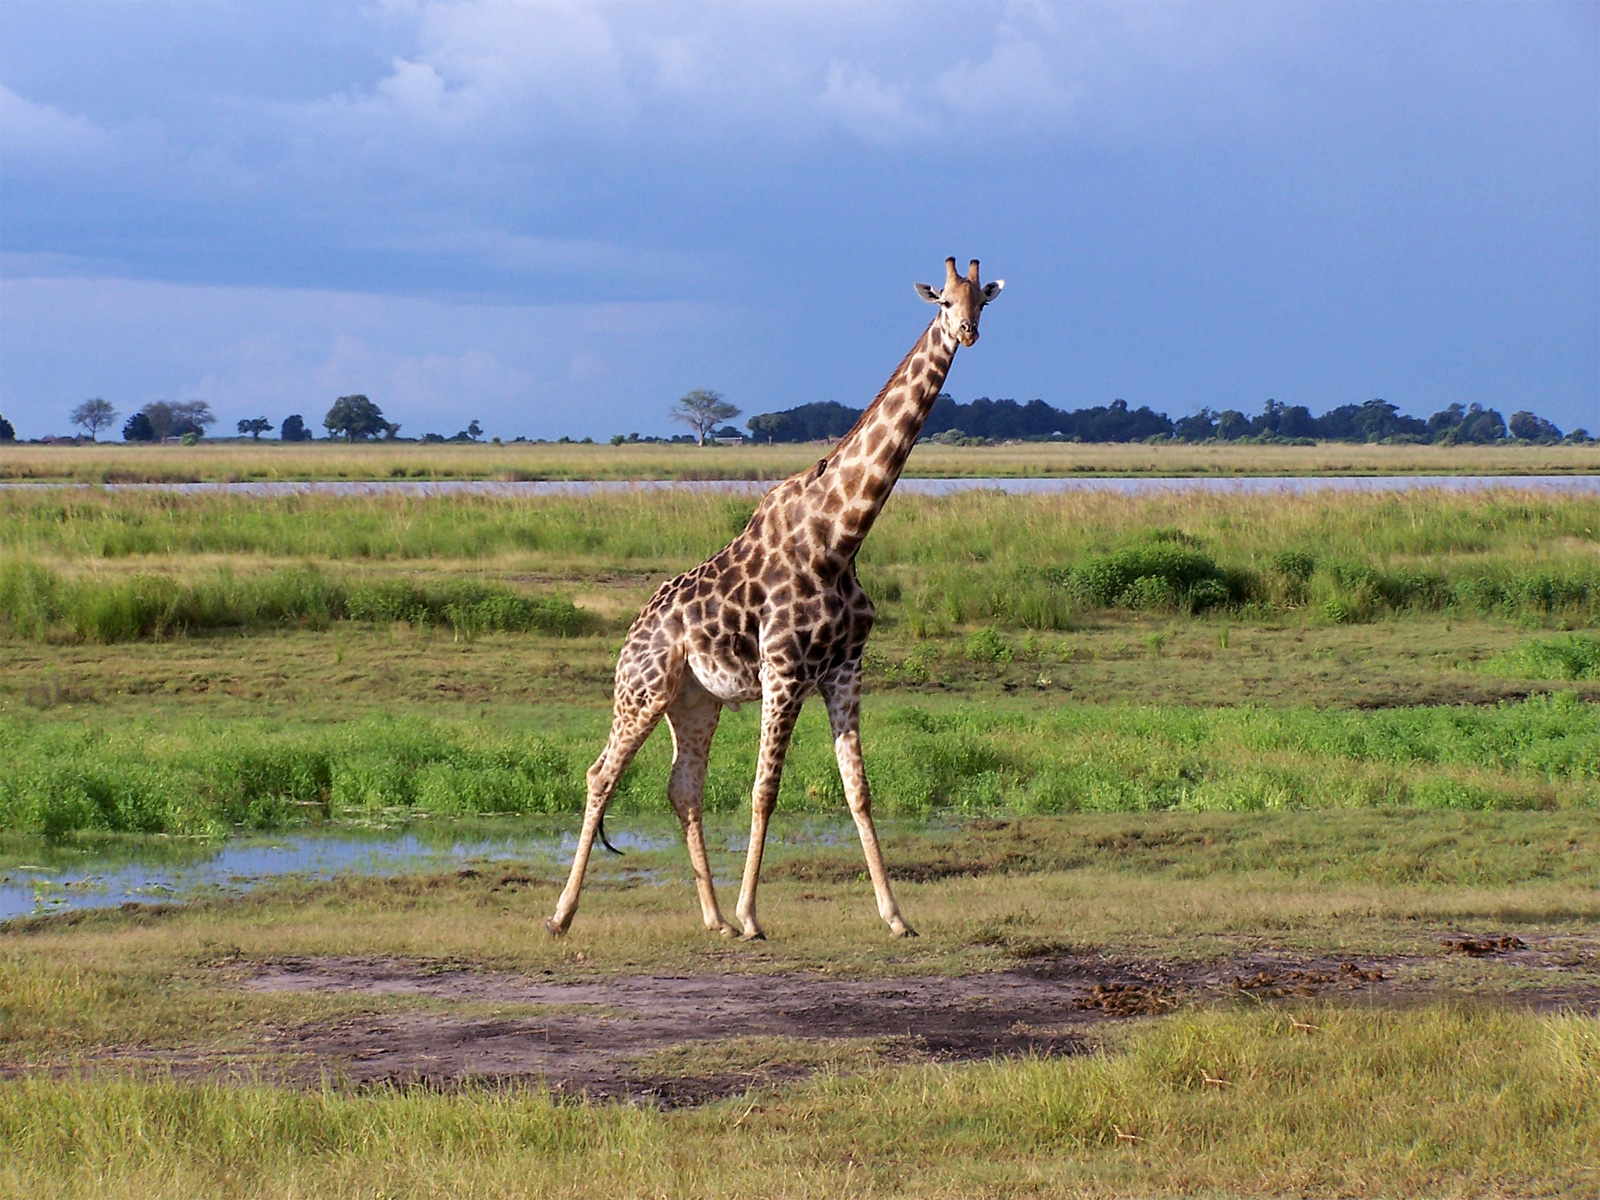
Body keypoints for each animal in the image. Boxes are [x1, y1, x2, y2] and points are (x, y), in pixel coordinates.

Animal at [546, 257, 1003, 941]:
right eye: (944, 300)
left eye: (984, 300)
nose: (968, 332)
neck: (840, 537)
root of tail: (632, 633)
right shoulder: (783, 670)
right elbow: (765, 789)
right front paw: (752, 915)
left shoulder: (844, 669)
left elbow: (858, 790)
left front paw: (896, 917)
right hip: (643, 691)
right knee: (601, 774)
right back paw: (563, 914)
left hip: (695, 701)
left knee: (683, 787)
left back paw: (711, 919)